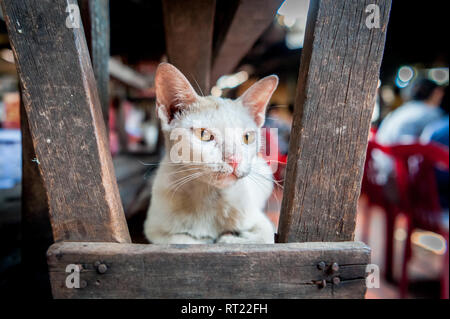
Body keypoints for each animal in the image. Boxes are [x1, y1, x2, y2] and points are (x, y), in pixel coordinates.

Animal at [144, 64, 278, 245]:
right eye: (204, 135)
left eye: (247, 137)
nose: (235, 160)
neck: (208, 196)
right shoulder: (155, 230)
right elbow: (182, 240)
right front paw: (208, 240)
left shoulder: (263, 225)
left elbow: (263, 238)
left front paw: (228, 239)